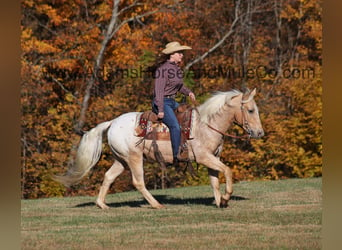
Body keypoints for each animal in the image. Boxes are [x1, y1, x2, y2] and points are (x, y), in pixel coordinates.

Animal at [55, 88, 264, 209]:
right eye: (251, 110)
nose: (259, 133)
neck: (206, 124)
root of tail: (112, 122)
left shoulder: (212, 158)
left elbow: (214, 181)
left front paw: (220, 202)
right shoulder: (204, 157)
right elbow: (227, 171)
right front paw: (227, 198)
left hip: (121, 160)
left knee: (108, 177)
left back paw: (102, 205)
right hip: (134, 158)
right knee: (138, 182)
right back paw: (156, 205)